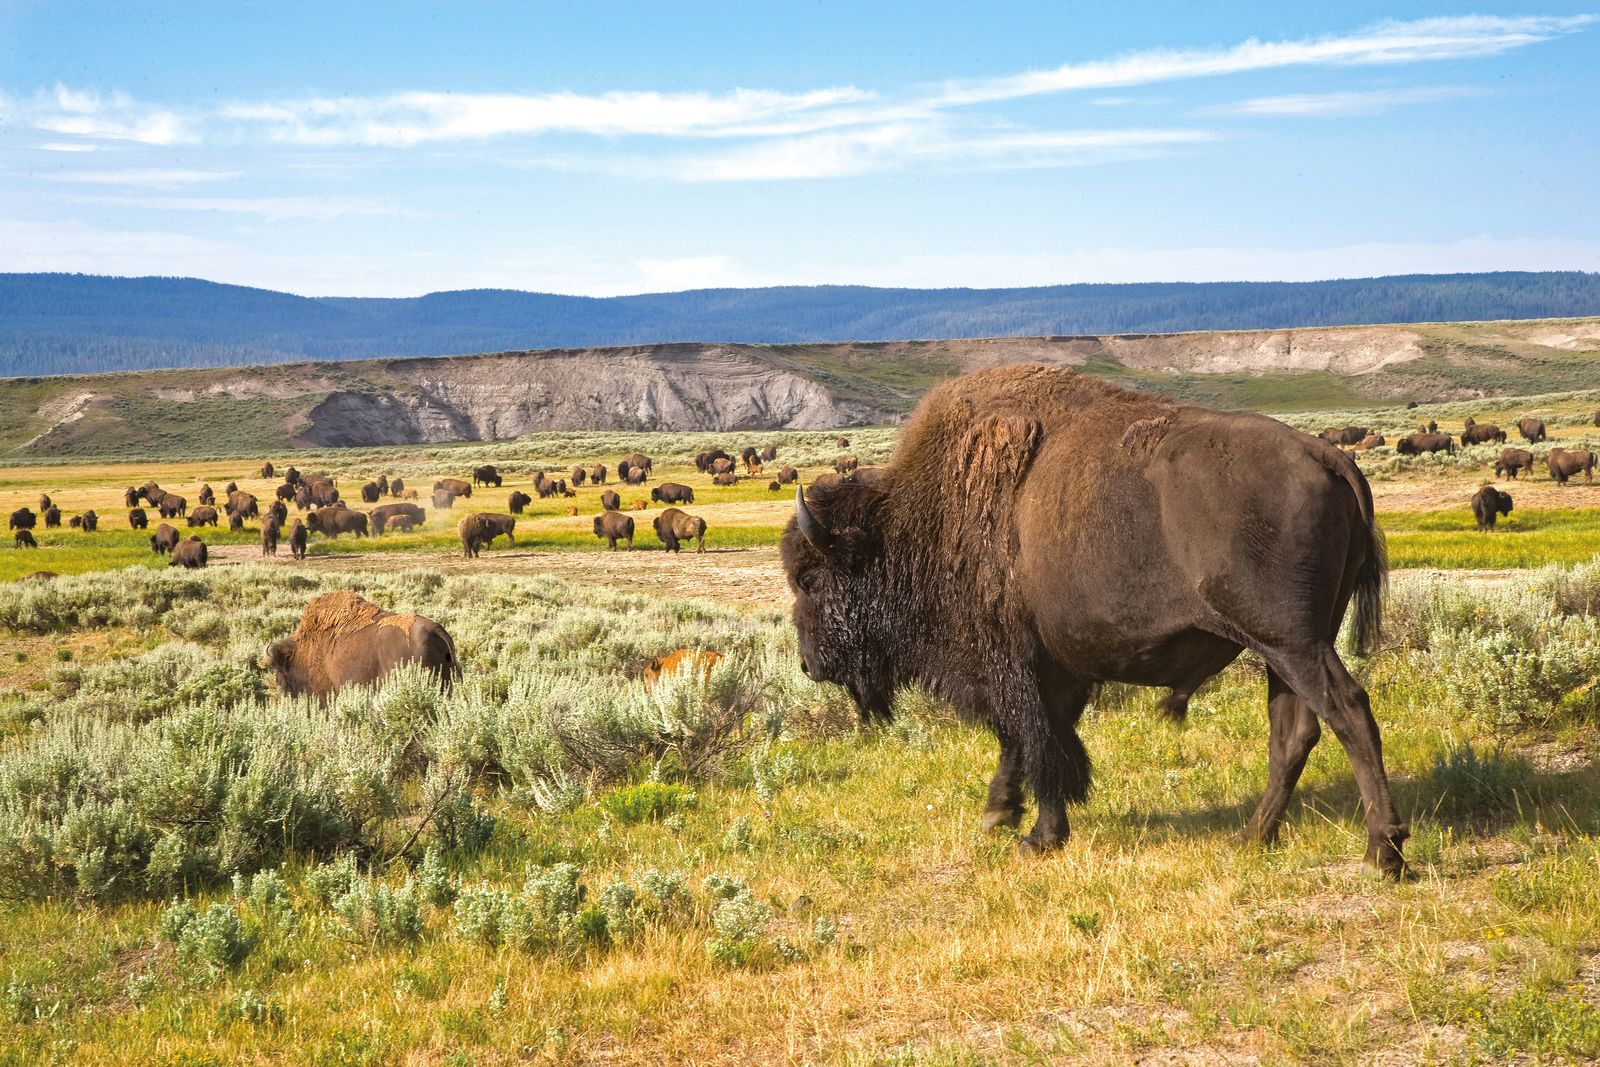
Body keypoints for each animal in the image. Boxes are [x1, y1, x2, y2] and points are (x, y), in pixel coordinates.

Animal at [780, 363, 1408, 883]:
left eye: (811, 579)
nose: (808, 664)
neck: (918, 521)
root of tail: (1330, 457)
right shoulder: (1056, 667)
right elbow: (1038, 742)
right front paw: (1000, 816)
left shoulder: (1014, 667)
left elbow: (1036, 742)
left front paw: (1036, 836)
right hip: (1285, 649)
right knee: (1294, 730)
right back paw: (1252, 837)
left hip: (1291, 642)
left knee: (1348, 711)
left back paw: (1383, 852)